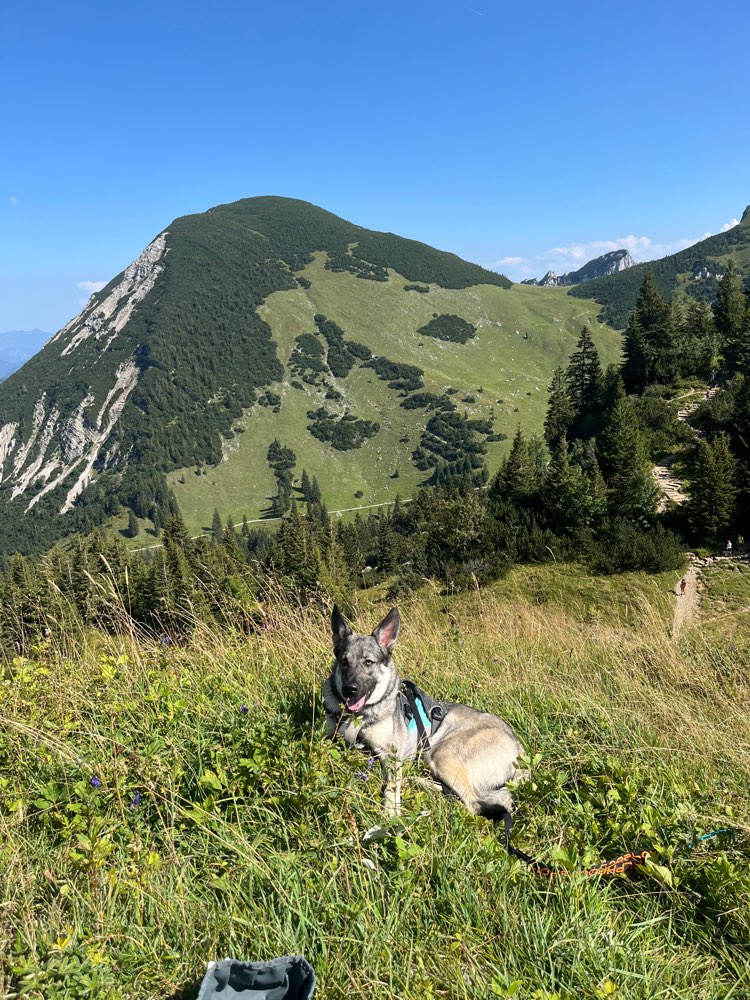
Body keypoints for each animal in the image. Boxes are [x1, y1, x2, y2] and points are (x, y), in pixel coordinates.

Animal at [324, 604, 528, 816]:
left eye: (368, 662)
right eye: (344, 661)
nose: (350, 689)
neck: (357, 717)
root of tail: (518, 746)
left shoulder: (391, 757)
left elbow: (391, 789)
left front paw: (391, 815)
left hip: (440, 754)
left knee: (472, 803)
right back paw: (419, 782)